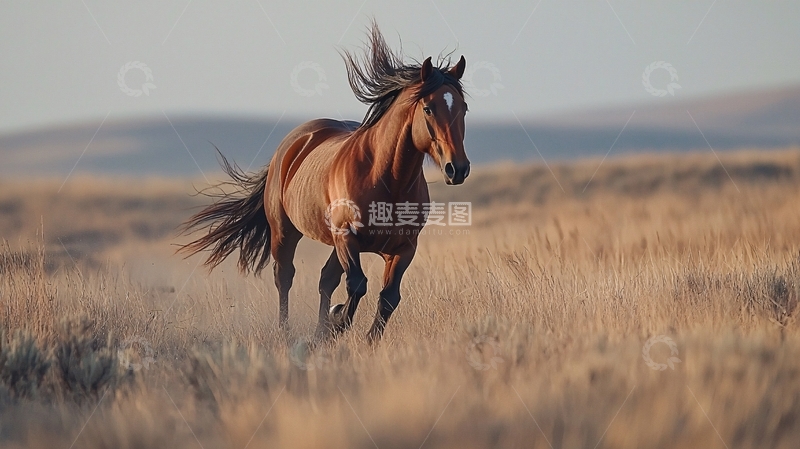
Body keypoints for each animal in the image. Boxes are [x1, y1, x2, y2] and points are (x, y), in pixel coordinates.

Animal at [178, 24, 470, 343]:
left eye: (464, 108)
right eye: (428, 108)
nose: (458, 169)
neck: (387, 182)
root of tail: (294, 142)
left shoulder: (404, 248)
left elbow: (388, 297)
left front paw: (358, 335)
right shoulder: (346, 238)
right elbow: (357, 285)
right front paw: (338, 319)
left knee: (325, 279)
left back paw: (320, 331)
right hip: (285, 231)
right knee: (285, 276)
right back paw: (287, 330)